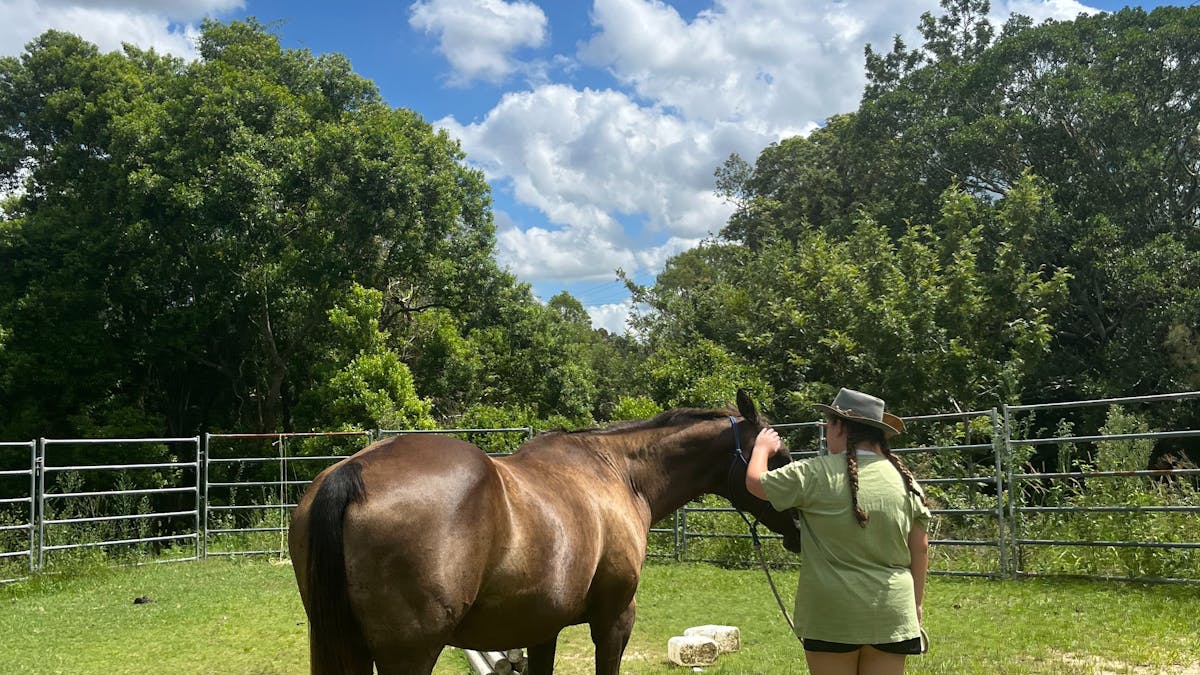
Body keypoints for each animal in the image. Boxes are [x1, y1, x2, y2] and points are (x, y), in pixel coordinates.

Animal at [288, 391, 800, 674]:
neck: (620, 474)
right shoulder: (614, 621)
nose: (799, 527)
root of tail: (351, 472)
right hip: (410, 654)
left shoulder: (540, 628)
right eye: (777, 456)